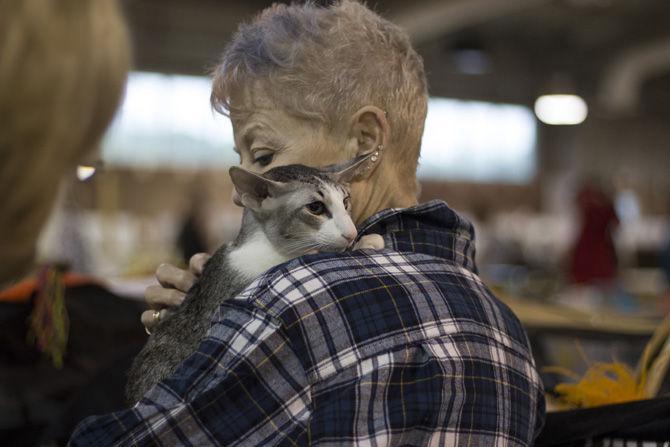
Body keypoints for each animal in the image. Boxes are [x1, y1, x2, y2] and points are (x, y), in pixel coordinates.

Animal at [125, 154, 378, 402]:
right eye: (315, 207)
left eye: (345, 202)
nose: (352, 232)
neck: (268, 248)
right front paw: (366, 241)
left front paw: (363, 240)